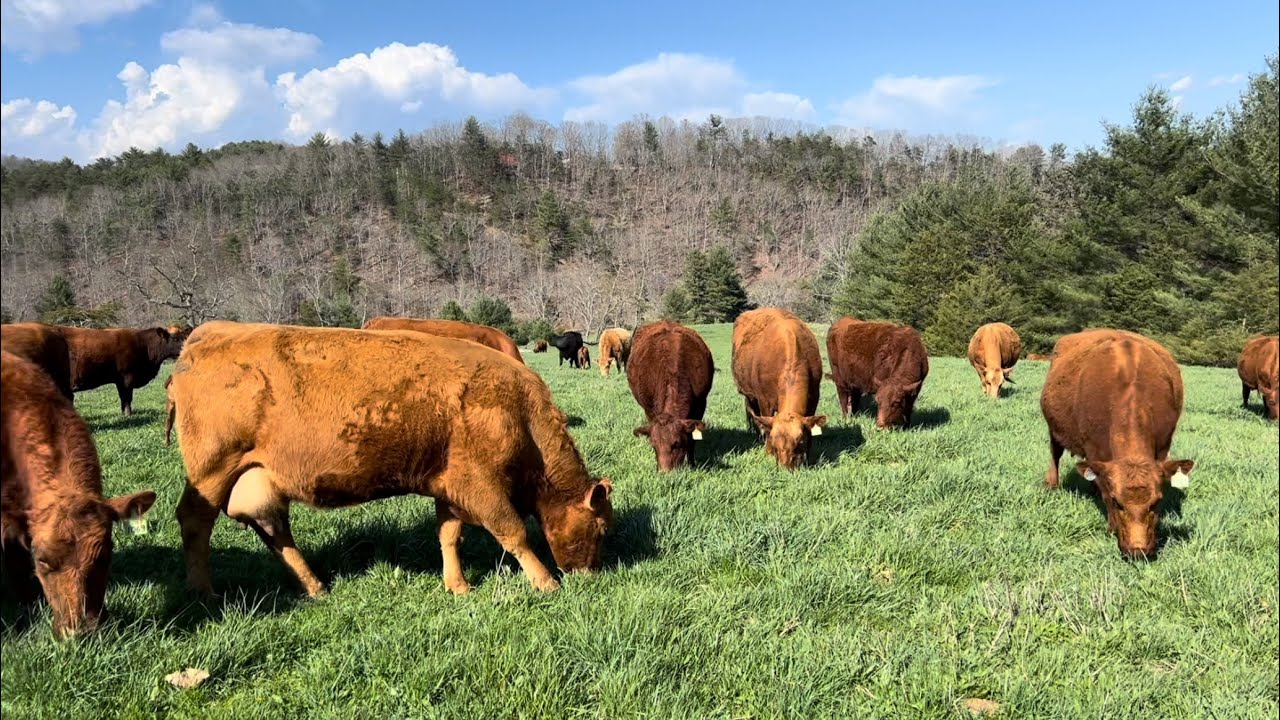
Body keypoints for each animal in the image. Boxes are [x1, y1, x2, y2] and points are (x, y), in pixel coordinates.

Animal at [58, 325, 189, 415]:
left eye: (184, 337)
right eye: (175, 339)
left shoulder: (119, 380)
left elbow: (123, 397)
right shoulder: (127, 377)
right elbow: (127, 397)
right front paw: (128, 413)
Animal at [166, 322, 614, 597]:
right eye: (602, 529)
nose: (591, 575)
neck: (519, 412)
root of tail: (205, 335)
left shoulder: (449, 486)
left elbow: (449, 535)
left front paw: (457, 585)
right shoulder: (480, 485)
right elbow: (514, 533)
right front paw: (546, 582)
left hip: (254, 479)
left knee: (275, 533)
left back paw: (314, 587)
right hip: (212, 472)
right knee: (195, 521)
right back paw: (204, 591)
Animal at [627, 322, 714, 471]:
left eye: (677, 443)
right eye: (654, 445)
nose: (664, 472)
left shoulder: (701, 404)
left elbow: (692, 439)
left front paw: (692, 464)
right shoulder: (649, 409)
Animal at [731, 308, 827, 470]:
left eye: (799, 443)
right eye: (775, 445)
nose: (786, 468)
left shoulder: (814, 397)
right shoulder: (764, 401)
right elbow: (765, 425)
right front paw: (767, 452)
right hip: (749, 394)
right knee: (751, 411)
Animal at [1041, 329, 1195, 559]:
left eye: (1157, 502)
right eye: (1117, 502)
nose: (1138, 550)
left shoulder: (1162, 447)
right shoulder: (1094, 449)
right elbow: (1103, 487)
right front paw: (1112, 526)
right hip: (1054, 428)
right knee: (1055, 454)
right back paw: (1052, 484)